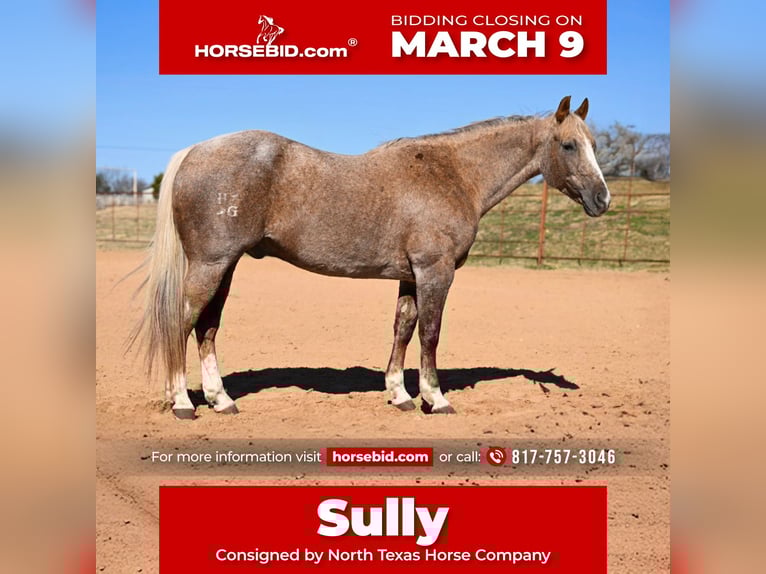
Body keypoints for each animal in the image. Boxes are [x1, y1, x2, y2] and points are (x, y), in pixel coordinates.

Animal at [131, 96, 610, 419]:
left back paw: (221, 400)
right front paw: (435, 398)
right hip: (211, 265)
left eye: (593, 143)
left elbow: (403, 329)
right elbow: (430, 334)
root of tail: (194, 150)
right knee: (181, 323)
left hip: (225, 266)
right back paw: (182, 403)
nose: (602, 199)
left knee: (207, 328)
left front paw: (400, 394)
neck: (453, 174)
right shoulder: (435, 272)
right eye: (569, 145)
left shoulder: (411, 276)